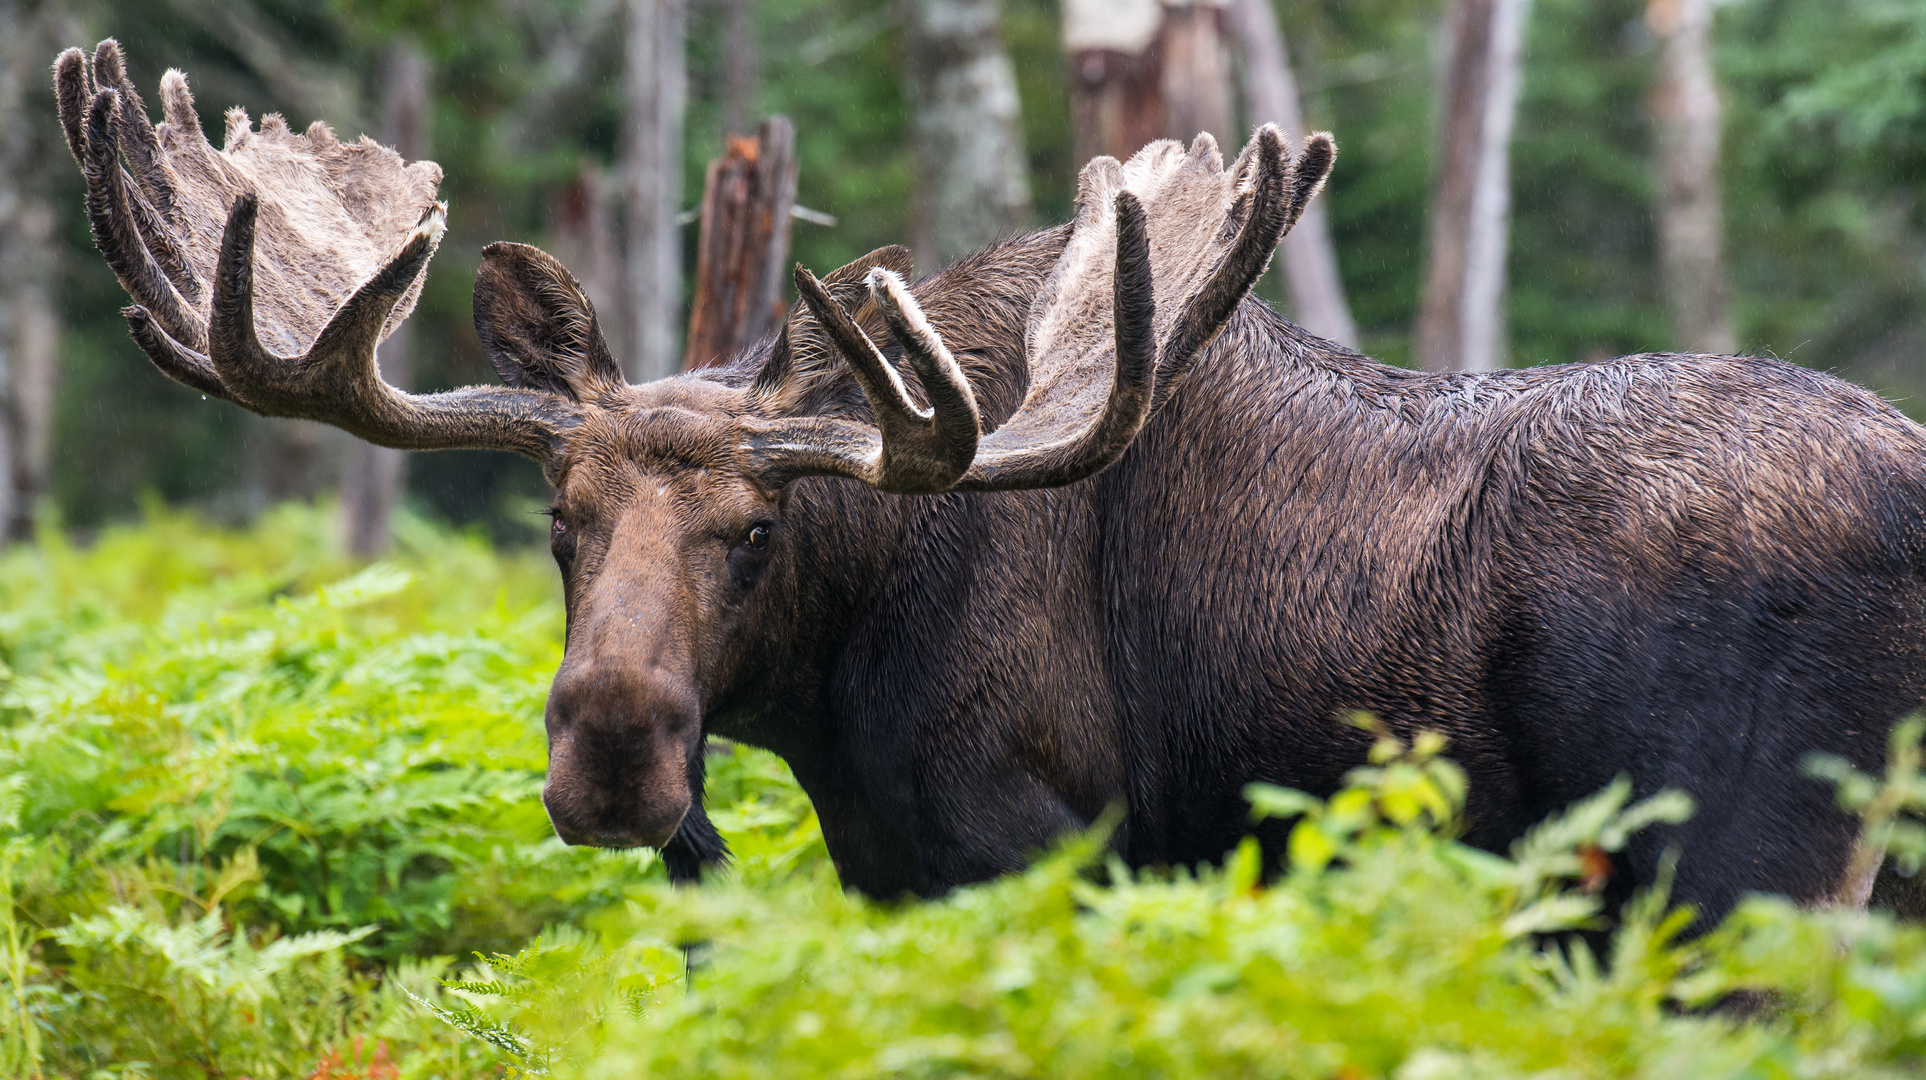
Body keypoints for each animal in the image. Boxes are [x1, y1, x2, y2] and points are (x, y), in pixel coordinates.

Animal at [52, 38, 1926, 924]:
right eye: (556, 523)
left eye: (755, 527)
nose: (612, 757)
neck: (835, 696)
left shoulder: (1034, 851)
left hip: (1744, 876)